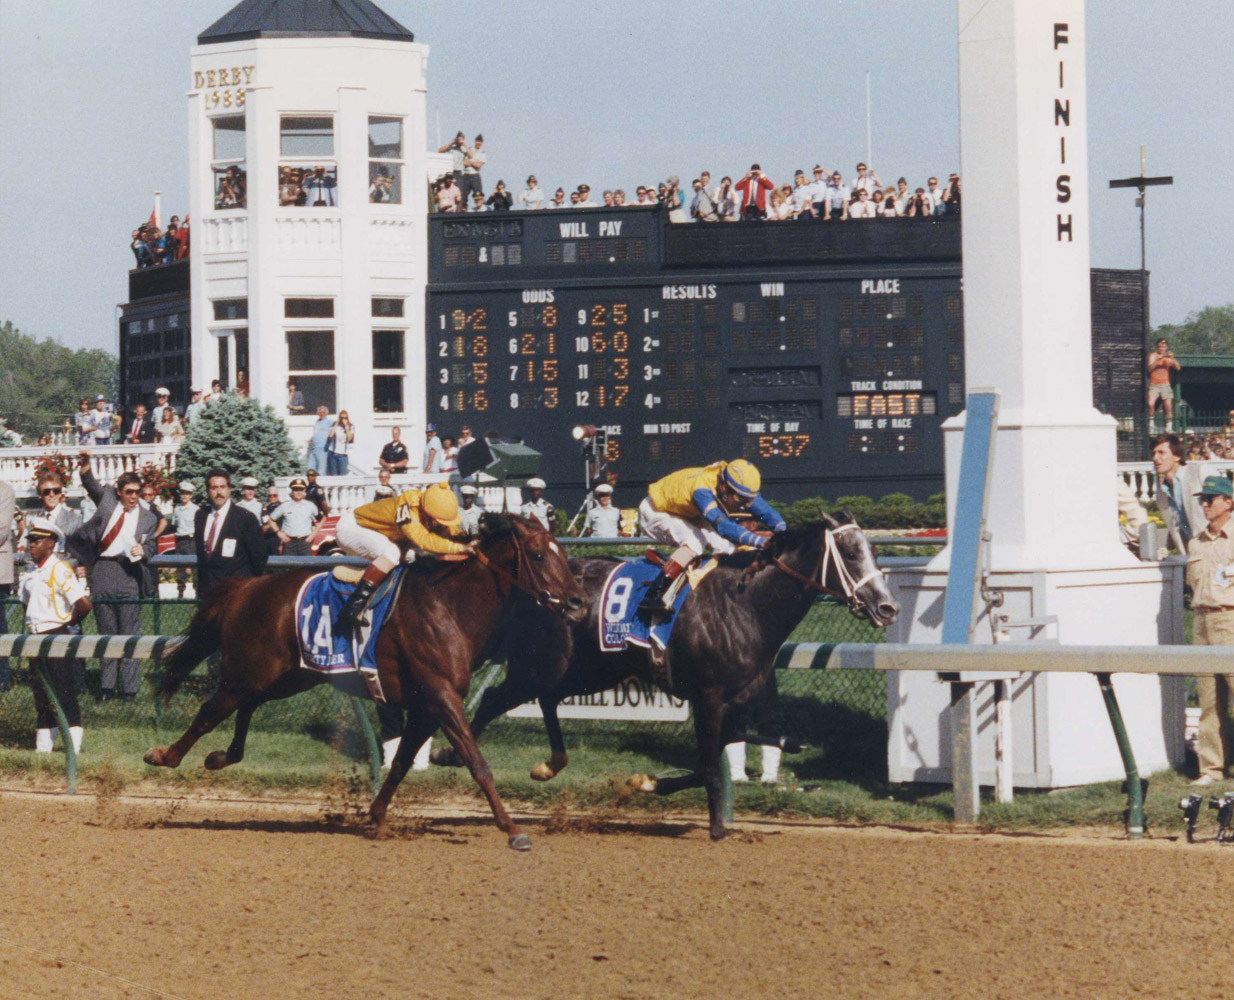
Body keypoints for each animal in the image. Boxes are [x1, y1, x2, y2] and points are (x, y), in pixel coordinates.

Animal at [144, 513, 587, 849]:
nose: (578, 603)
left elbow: (403, 761)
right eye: (537, 555)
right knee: (208, 712)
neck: (449, 606)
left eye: (564, 554)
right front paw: (512, 830)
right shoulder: (442, 697)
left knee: (245, 708)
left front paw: (376, 816)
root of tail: (247, 587)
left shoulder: (427, 704)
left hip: (284, 676)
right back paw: (164, 755)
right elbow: (477, 763)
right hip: (250, 673)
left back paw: (220, 757)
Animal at [434, 511, 898, 839]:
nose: (888, 607)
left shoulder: (735, 701)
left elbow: (711, 758)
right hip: (540, 667)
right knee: (494, 699)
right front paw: (714, 827)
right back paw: (450, 754)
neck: (746, 605)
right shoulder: (708, 695)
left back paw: (549, 765)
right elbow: (709, 764)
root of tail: (537, 588)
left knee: (545, 701)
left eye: (875, 554)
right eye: (851, 554)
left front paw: (647, 783)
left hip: (580, 670)